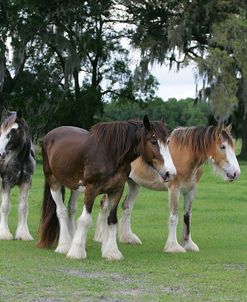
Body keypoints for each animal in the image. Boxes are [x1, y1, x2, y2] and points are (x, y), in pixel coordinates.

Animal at [0, 109, 35, 239]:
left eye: (13, 130)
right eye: (1, 129)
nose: (1, 153)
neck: (20, 158)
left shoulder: (26, 181)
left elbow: (23, 207)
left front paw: (23, 234)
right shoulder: (6, 181)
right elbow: (5, 207)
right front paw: (4, 234)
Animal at [37, 117, 177, 260]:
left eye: (168, 141)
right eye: (153, 141)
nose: (170, 173)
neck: (111, 155)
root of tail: (49, 135)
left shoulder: (116, 190)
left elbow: (112, 220)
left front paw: (111, 252)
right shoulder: (91, 190)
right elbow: (85, 220)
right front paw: (77, 252)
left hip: (75, 186)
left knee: (71, 208)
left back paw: (71, 239)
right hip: (54, 182)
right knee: (61, 211)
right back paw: (64, 245)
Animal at [94, 124, 239, 252]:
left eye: (233, 146)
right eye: (222, 146)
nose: (236, 173)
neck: (186, 154)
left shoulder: (190, 191)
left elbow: (187, 216)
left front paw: (188, 244)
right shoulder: (174, 189)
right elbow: (174, 217)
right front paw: (173, 246)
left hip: (134, 184)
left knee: (127, 206)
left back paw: (128, 238)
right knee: (104, 205)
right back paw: (101, 237)